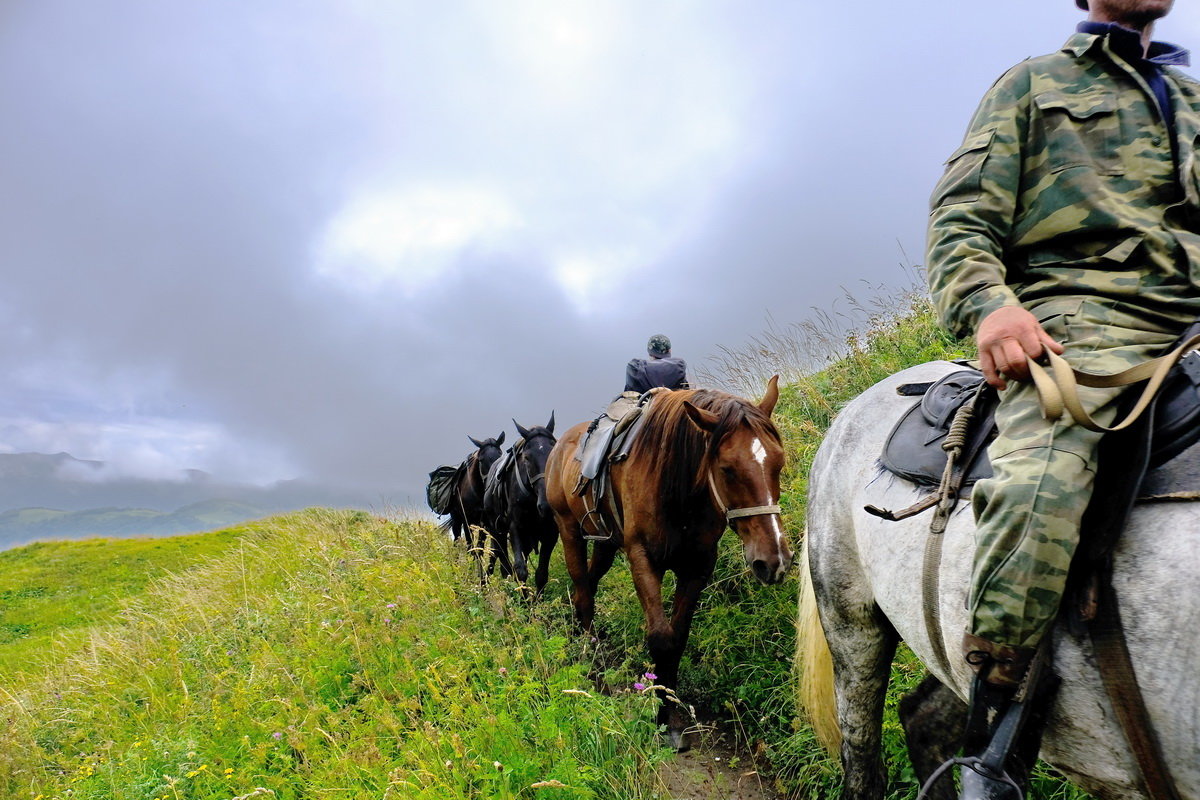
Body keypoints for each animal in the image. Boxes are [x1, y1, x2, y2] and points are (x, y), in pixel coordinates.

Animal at [482, 412, 556, 594]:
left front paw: (537, 599)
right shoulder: (515, 527)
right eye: (527, 458)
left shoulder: (551, 532)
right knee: (502, 559)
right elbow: (520, 570)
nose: (546, 505)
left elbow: (541, 573)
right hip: (497, 531)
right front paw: (524, 599)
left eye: (554, 451)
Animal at [547, 379, 792, 748]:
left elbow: (678, 639)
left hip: (605, 544)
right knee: (583, 590)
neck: (677, 489)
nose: (773, 560)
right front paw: (662, 720)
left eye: (778, 462)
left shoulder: (697, 567)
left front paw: (670, 717)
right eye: (727, 469)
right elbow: (661, 638)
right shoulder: (643, 558)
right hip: (568, 530)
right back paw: (591, 663)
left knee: (585, 587)